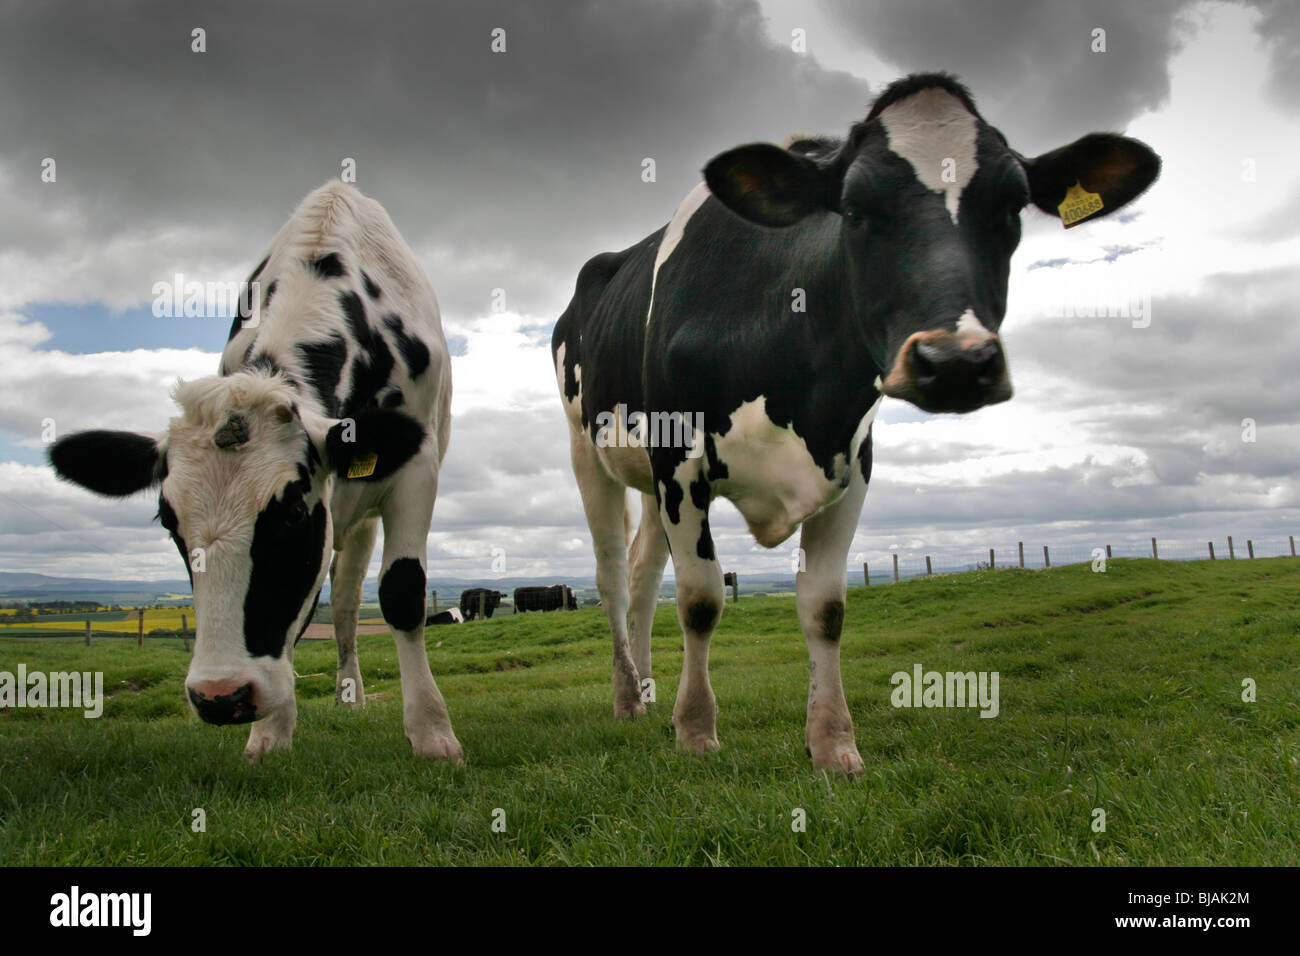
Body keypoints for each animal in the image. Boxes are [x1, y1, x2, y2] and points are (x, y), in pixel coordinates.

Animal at [48, 182, 462, 763]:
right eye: (169, 524)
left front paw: (431, 732)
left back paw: (352, 695)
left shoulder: (417, 468)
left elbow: (402, 594)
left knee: (348, 602)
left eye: (290, 514)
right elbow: (297, 620)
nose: (222, 697)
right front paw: (270, 733)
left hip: (362, 517)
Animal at [552, 73, 1160, 776]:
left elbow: (826, 608)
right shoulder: (680, 457)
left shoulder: (852, 455)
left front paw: (833, 744)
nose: (956, 363)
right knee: (613, 578)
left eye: (1012, 207)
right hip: (588, 453)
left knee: (645, 574)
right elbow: (701, 599)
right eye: (856, 208)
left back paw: (650, 693)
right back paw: (628, 698)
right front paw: (698, 731)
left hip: (650, 482)